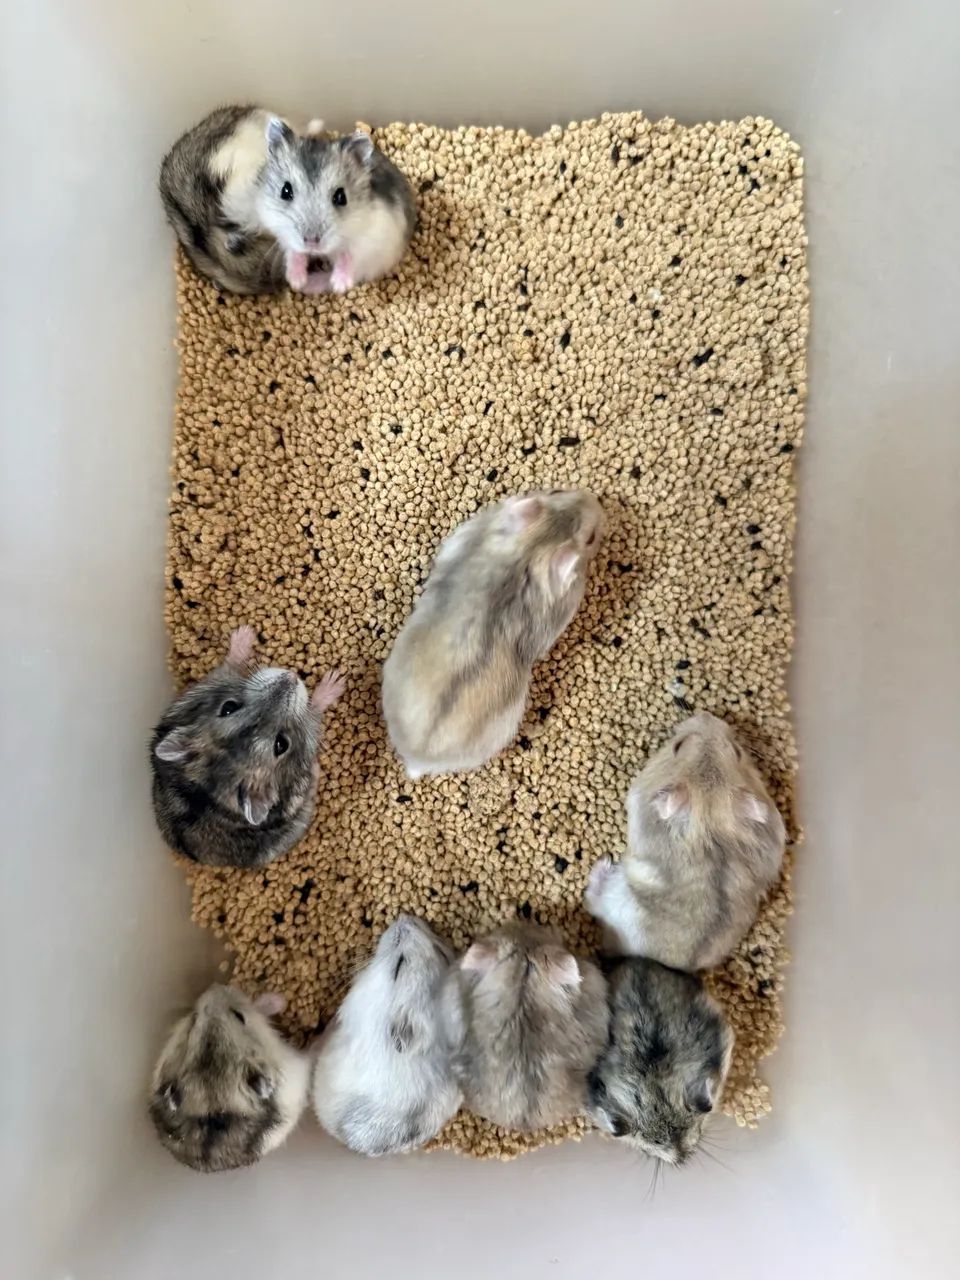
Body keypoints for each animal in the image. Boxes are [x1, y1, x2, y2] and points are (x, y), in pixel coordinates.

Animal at [150, 625, 345, 869]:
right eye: (281, 745)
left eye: (228, 707)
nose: (291, 677)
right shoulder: (309, 736)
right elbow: (315, 711)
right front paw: (336, 679)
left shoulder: (210, 681)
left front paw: (244, 632)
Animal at [585, 711, 786, 970]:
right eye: (738, 751)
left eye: (677, 746)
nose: (706, 714)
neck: (711, 833)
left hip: (613, 895)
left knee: (592, 900)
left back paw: (603, 864)